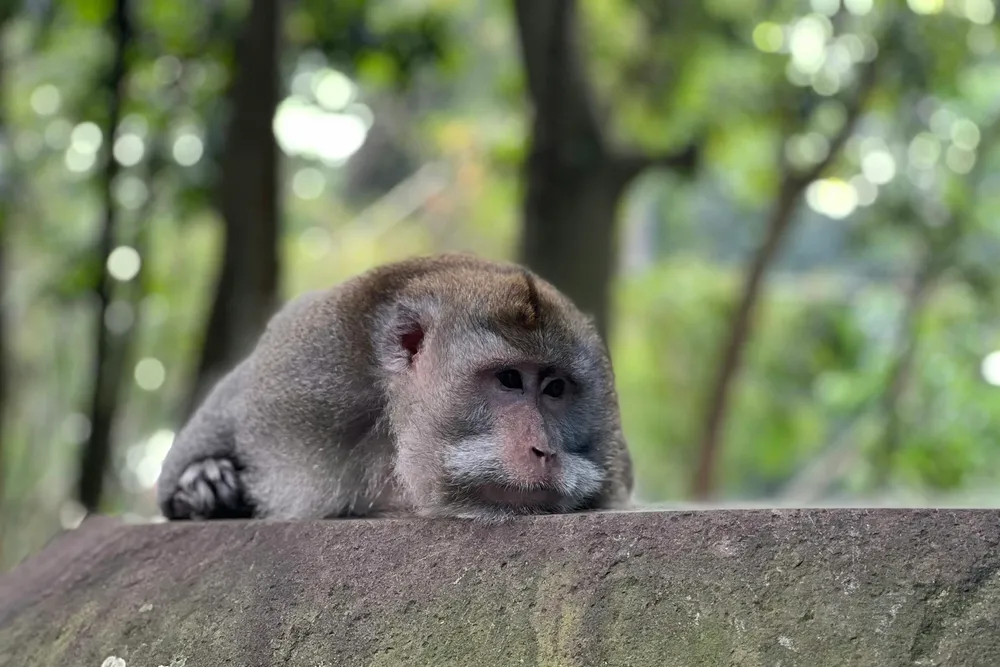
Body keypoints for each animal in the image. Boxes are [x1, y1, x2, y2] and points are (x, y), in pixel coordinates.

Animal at [156, 253, 633, 522]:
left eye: (554, 388)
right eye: (510, 379)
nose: (544, 450)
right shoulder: (303, 374)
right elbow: (233, 402)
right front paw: (199, 481)